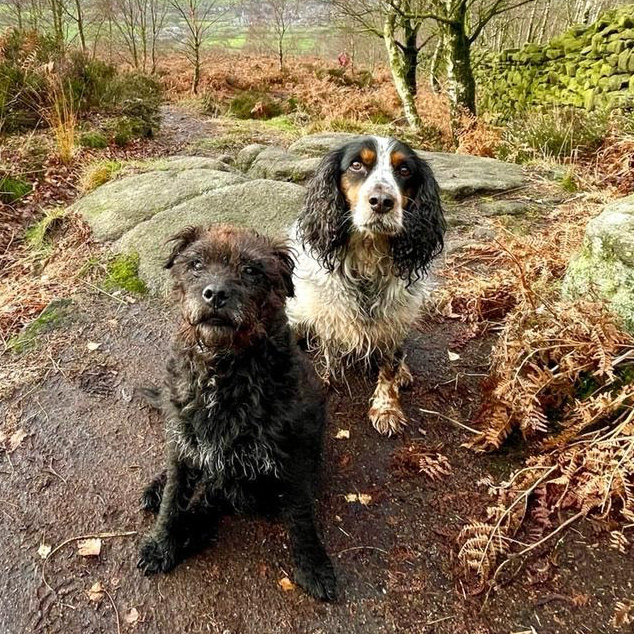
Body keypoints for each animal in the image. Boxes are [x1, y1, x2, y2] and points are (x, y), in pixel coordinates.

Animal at [137, 225, 336, 600]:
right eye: (196, 264)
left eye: (251, 270)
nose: (215, 294)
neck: (223, 371)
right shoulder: (185, 440)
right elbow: (173, 498)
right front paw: (161, 543)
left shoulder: (291, 455)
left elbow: (301, 514)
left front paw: (313, 566)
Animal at [286, 135, 444, 434]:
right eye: (357, 165)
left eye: (404, 170)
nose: (381, 201)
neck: (368, 256)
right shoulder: (324, 312)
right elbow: (329, 352)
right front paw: (327, 380)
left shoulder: (395, 321)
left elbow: (389, 366)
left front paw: (386, 408)